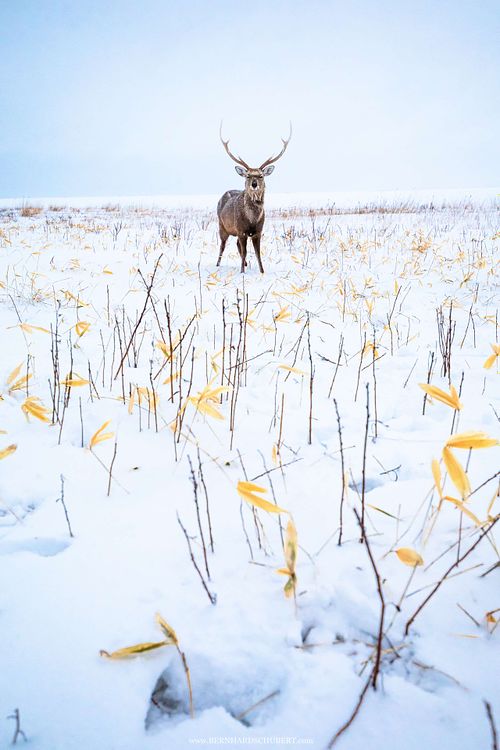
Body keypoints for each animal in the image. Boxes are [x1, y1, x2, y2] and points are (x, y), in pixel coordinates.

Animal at [216, 123, 292, 274]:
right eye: (248, 175)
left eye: (261, 175)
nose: (254, 184)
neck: (251, 219)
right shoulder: (241, 230)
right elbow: (245, 251)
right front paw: (242, 272)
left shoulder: (258, 231)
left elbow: (258, 253)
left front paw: (262, 271)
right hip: (222, 226)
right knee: (222, 246)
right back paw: (218, 264)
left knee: (236, 245)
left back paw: (244, 264)